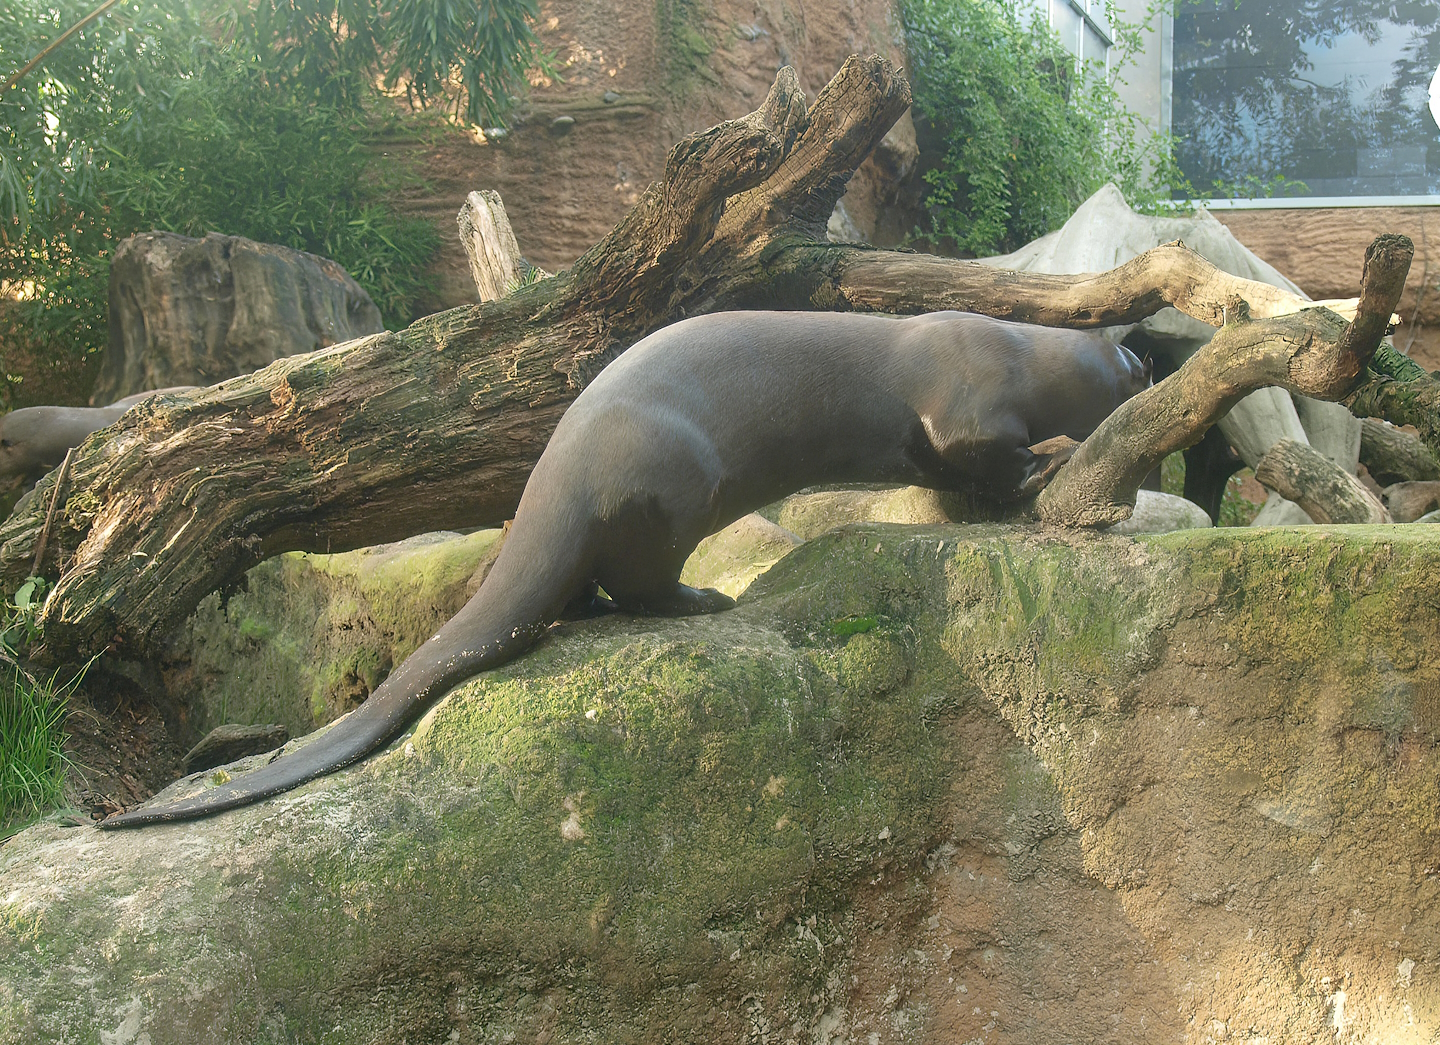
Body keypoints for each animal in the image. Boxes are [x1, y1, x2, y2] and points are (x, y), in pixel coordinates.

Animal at [99, 311, 1148, 828]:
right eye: (1132, 360)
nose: (1148, 363)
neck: (1018, 346)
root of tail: (558, 473)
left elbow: (950, 473)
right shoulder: (969, 398)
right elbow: (988, 452)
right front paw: (1047, 464)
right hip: (675, 480)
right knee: (635, 587)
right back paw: (705, 596)